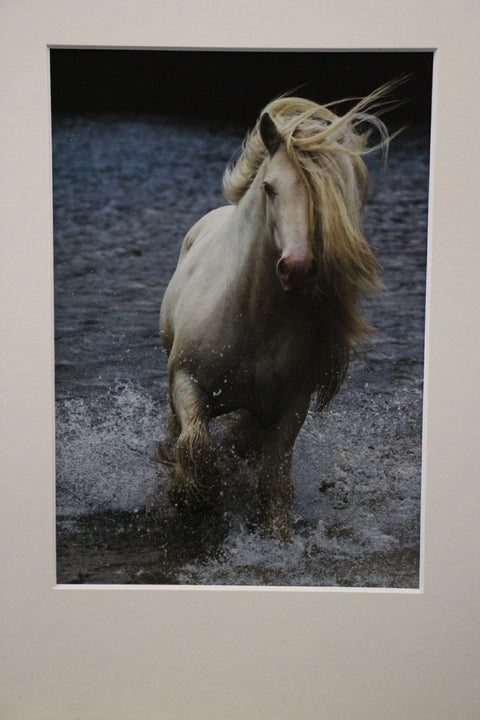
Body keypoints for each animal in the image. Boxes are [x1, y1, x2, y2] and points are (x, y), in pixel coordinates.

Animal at [156, 84, 394, 540]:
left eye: (326, 197)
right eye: (269, 187)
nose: (297, 269)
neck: (252, 319)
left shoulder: (290, 407)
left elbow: (273, 479)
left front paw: (277, 534)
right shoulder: (187, 380)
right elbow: (196, 445)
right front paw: (189, 496)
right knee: (179, 430)